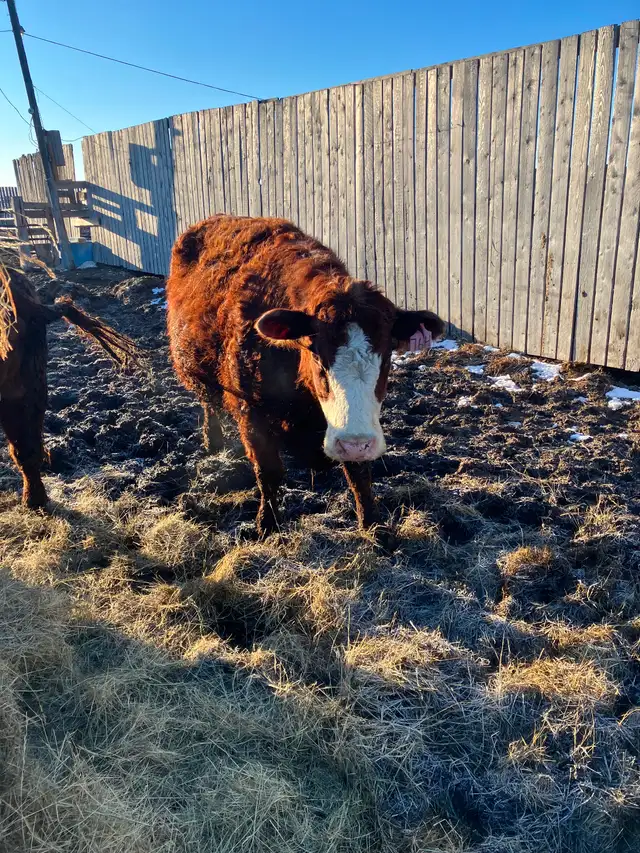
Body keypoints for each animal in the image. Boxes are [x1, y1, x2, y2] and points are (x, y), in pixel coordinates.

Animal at [166, 215, 444, 538]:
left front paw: (374, 526)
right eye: (317, 355)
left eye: (387, 356)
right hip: (194, 369)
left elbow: (359, 474)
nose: (355, 443)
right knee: (209, 403)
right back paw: (213, 441)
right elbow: (269, 471)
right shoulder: (251, 412)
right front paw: (267, 524)